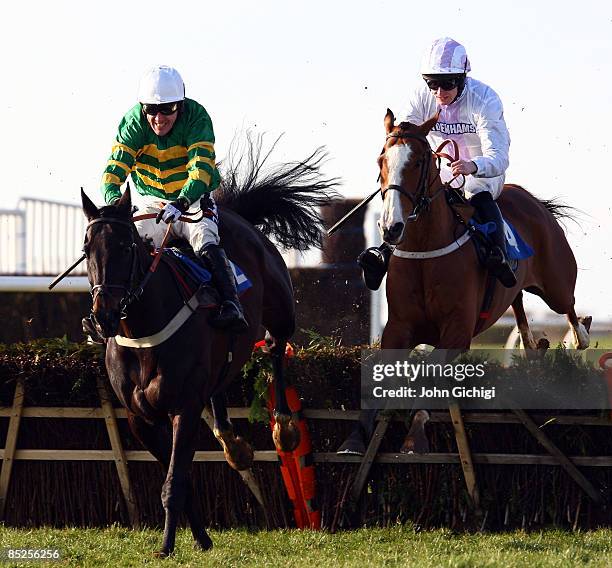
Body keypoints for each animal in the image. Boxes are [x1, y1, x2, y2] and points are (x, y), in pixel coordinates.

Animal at [79, 150, 338, 556]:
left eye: (125, 246)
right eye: (86, 248)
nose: (104, 313)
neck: (143, 334)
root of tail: (234, 213)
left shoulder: (182, 409)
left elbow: (174, 484)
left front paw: (167, 546)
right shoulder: (140, 419)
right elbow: (179, 481)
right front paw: (200, 538)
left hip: (280, 307)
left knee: (276, 349)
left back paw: (284, 428)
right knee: (221, 382)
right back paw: (231, 442)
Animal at [338, 110, 592, 458]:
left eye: (418, 161)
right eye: (381, 159)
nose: (391, 227)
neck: (425, 251)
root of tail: (532, 200)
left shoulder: (457, 331)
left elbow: (429, 370)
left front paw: (415, 435)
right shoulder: (398, 328)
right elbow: (380, 374)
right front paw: (353, 440)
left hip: (555, 284)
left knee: (568, 305)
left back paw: (580, 335)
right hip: (516, 287)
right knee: (518, 303)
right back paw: (531, 345)